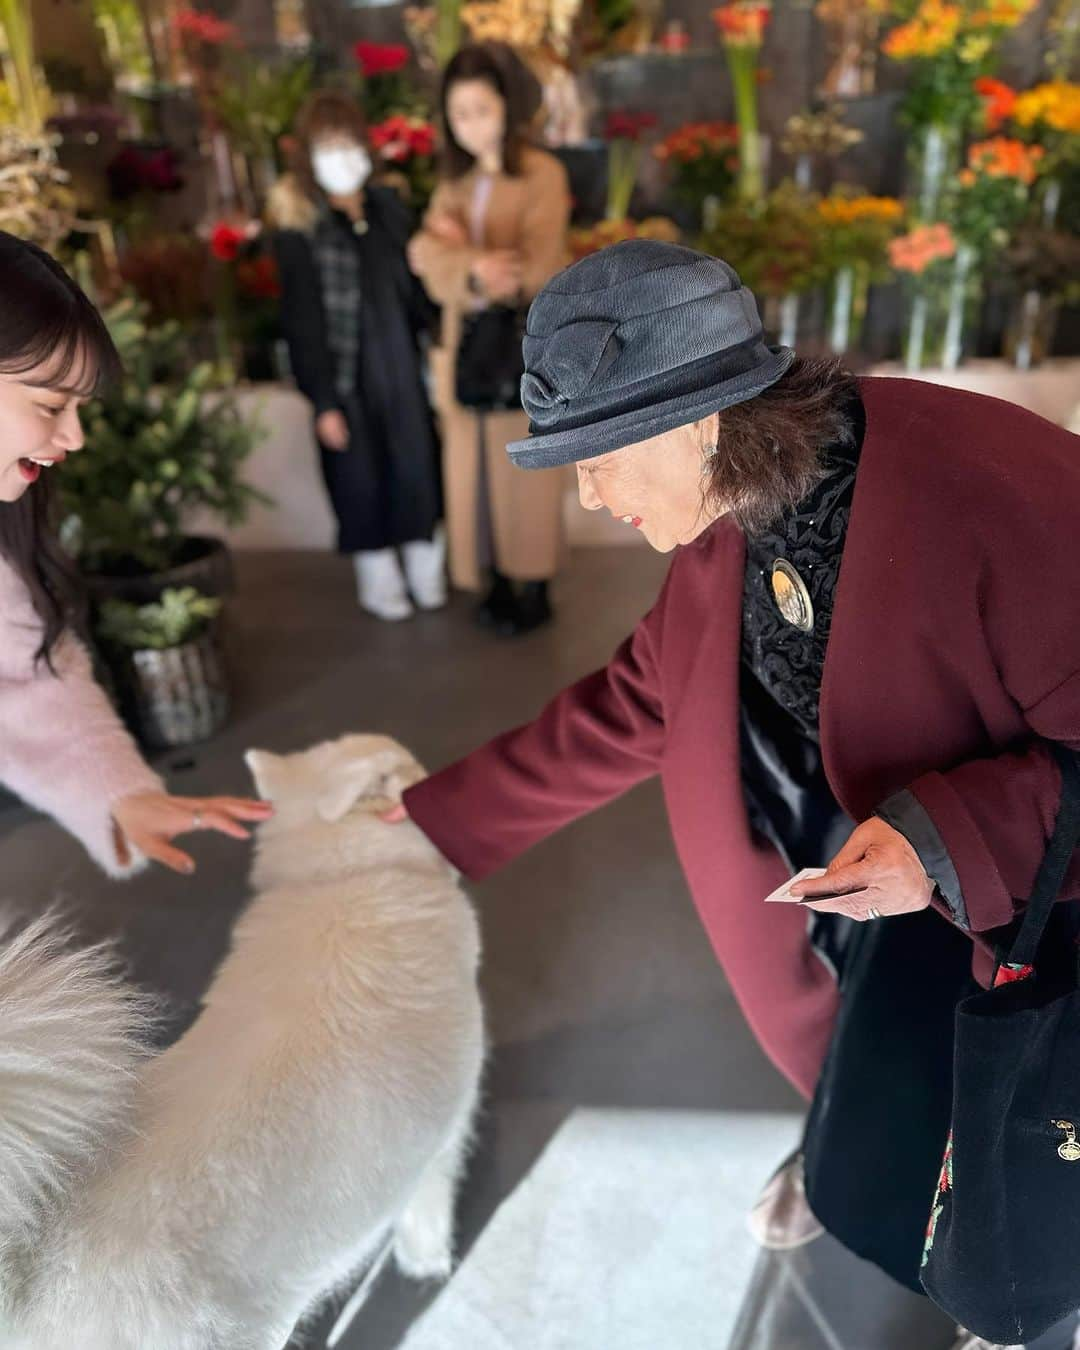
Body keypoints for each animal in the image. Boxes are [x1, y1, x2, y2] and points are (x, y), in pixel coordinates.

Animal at [0, 739, 486, 1350]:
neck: (342, 875)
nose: (440, 781)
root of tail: (31, 1264)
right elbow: (429, 1206)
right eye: (411, 768)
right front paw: (428, 1261)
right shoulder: (446, 1128)